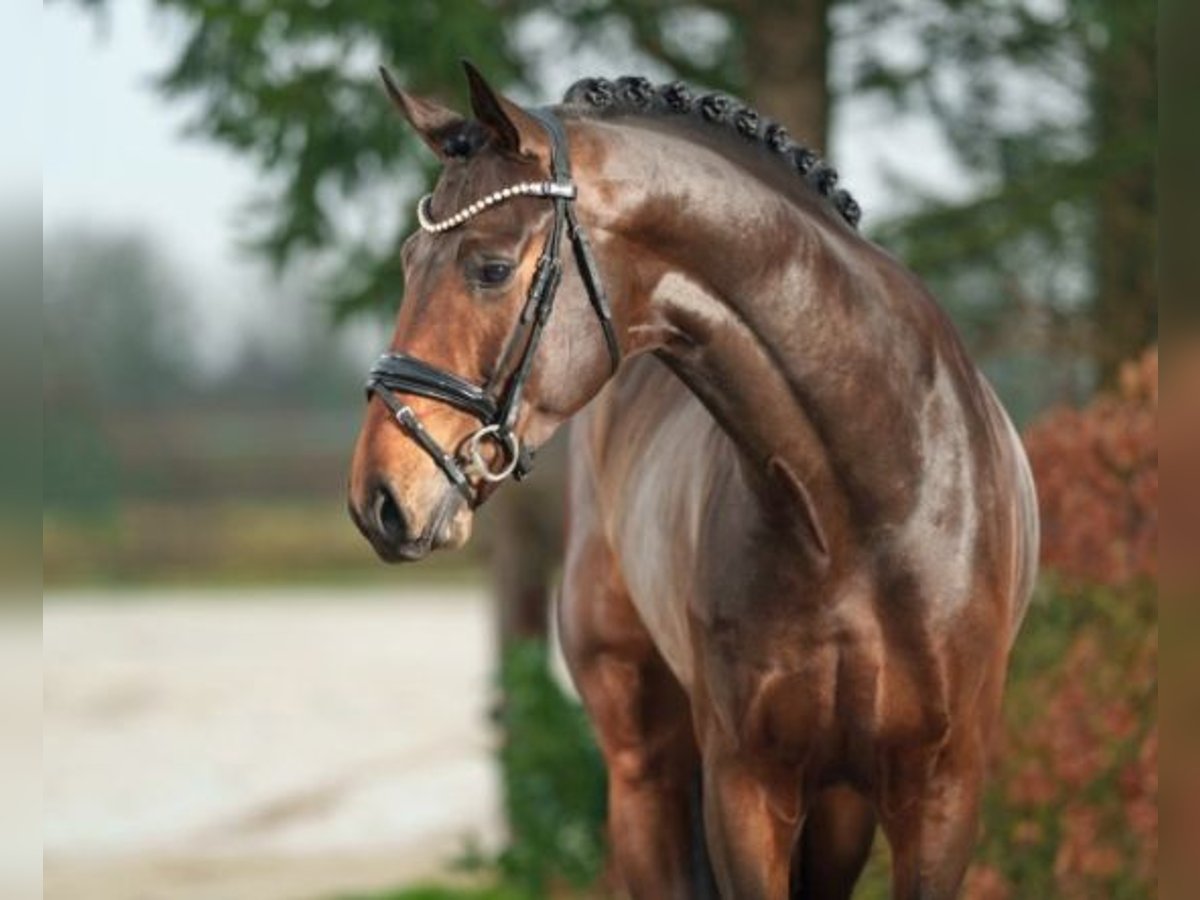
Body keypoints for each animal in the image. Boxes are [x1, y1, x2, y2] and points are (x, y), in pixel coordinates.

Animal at [347, 64, 1039, 900]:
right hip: (646, 769)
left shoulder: (937, 793)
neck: (861, 504)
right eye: (409, 259)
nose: (380, 498)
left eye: (490, 267)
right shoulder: (747, 787)